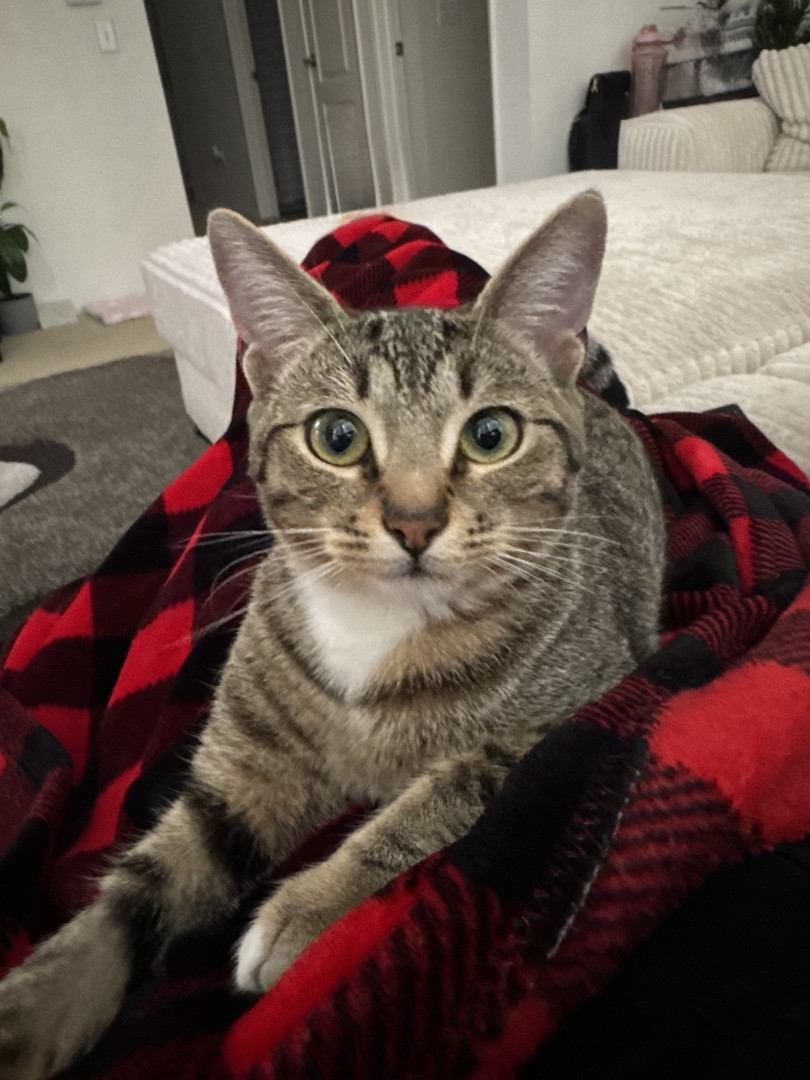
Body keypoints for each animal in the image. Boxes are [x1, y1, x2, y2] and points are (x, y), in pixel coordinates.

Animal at [0, 190, 665, 1080]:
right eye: (337, 437)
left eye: (490, 435)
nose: (414, 522)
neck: (380, 624)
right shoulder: (245, 770)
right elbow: (144, 884)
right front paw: (33, 1005)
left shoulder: (578, 708)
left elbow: (436, 801)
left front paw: (305, 909)